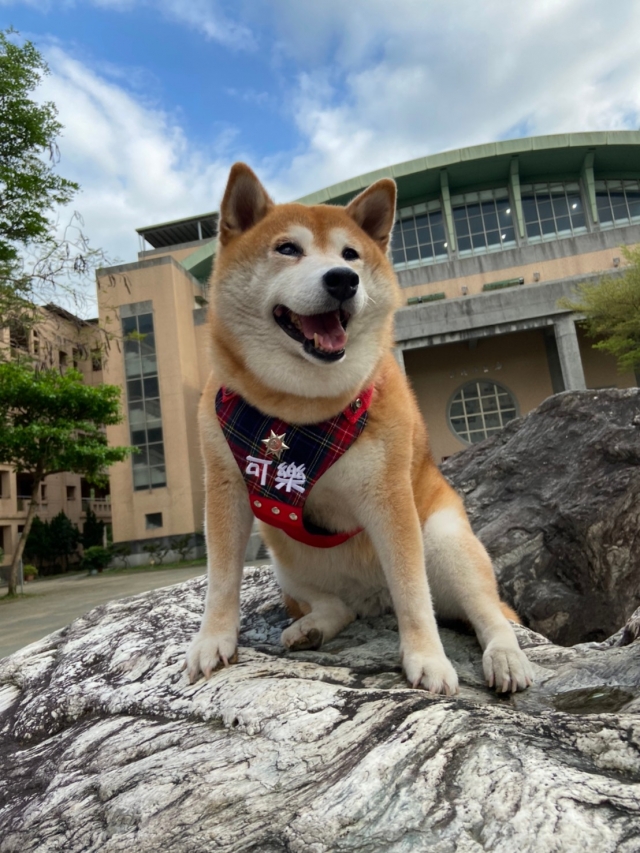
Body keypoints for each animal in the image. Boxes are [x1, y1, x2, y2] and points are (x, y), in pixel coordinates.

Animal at [186, 163, 536, 696]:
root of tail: (374, 599)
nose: (343, 280)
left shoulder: (390, 497)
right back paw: (313, 626)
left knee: (488, 615)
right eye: (287, 249)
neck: (299, 412)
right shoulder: (225, 487)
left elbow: (414, 592)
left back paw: (505, 657)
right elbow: (222, 579)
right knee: (337, 606)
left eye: (351, 255)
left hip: (446, 541)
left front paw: (427, 658)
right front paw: (212, 641)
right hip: (285, 559)